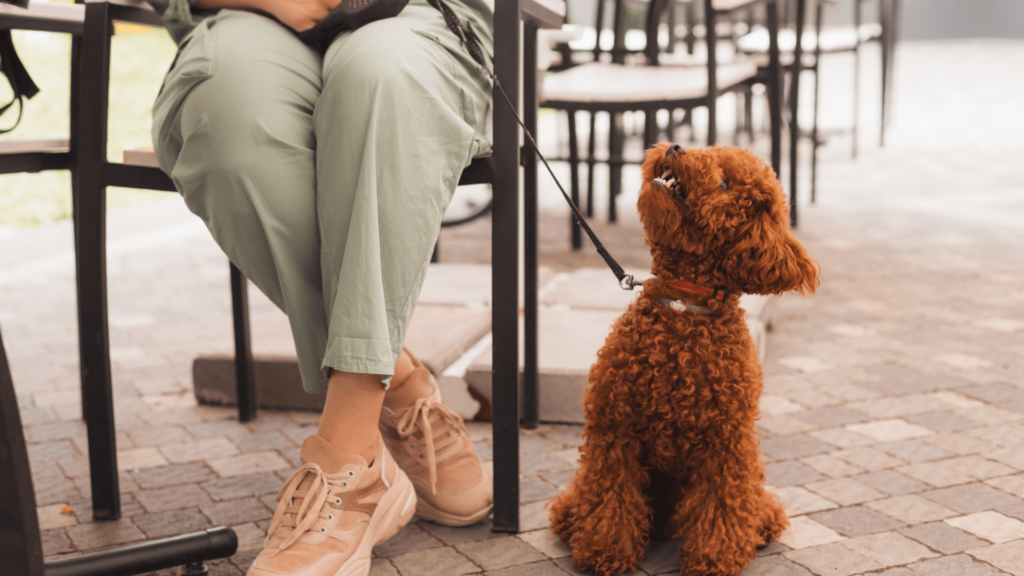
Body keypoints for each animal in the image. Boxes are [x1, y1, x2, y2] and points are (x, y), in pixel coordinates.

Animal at [548, 141, 819, 569]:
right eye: (709, 150)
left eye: (725, 184)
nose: (675, 146)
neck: (682, 306)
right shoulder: (614, 432)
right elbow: (611, 499)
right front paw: (605, 552)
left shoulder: (726, 444)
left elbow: (720, 506)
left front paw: (713, 558)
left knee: (751, 502)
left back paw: (760, 523)